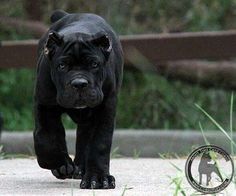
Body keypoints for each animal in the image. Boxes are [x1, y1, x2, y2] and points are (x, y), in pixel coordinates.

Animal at [34, 9, 124, 189]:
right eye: (62, 66)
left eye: (94, 64)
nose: (79, 83)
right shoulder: (44, 104)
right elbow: (45, 137)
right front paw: (60, 164)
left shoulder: (105, 108)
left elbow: (99, 143)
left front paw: (98, 178)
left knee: (85, 138)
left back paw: (82, 169)